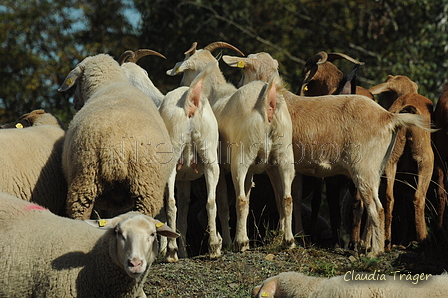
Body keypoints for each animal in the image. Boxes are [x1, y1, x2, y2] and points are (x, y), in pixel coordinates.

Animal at [158, 61, 221, 260]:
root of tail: (190, 100)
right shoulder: (184, 179)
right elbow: (184, 215)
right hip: (209, 156)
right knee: (210, 202)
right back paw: (214, 248)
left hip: (170, 158)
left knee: (171, 204)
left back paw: (171, 253)